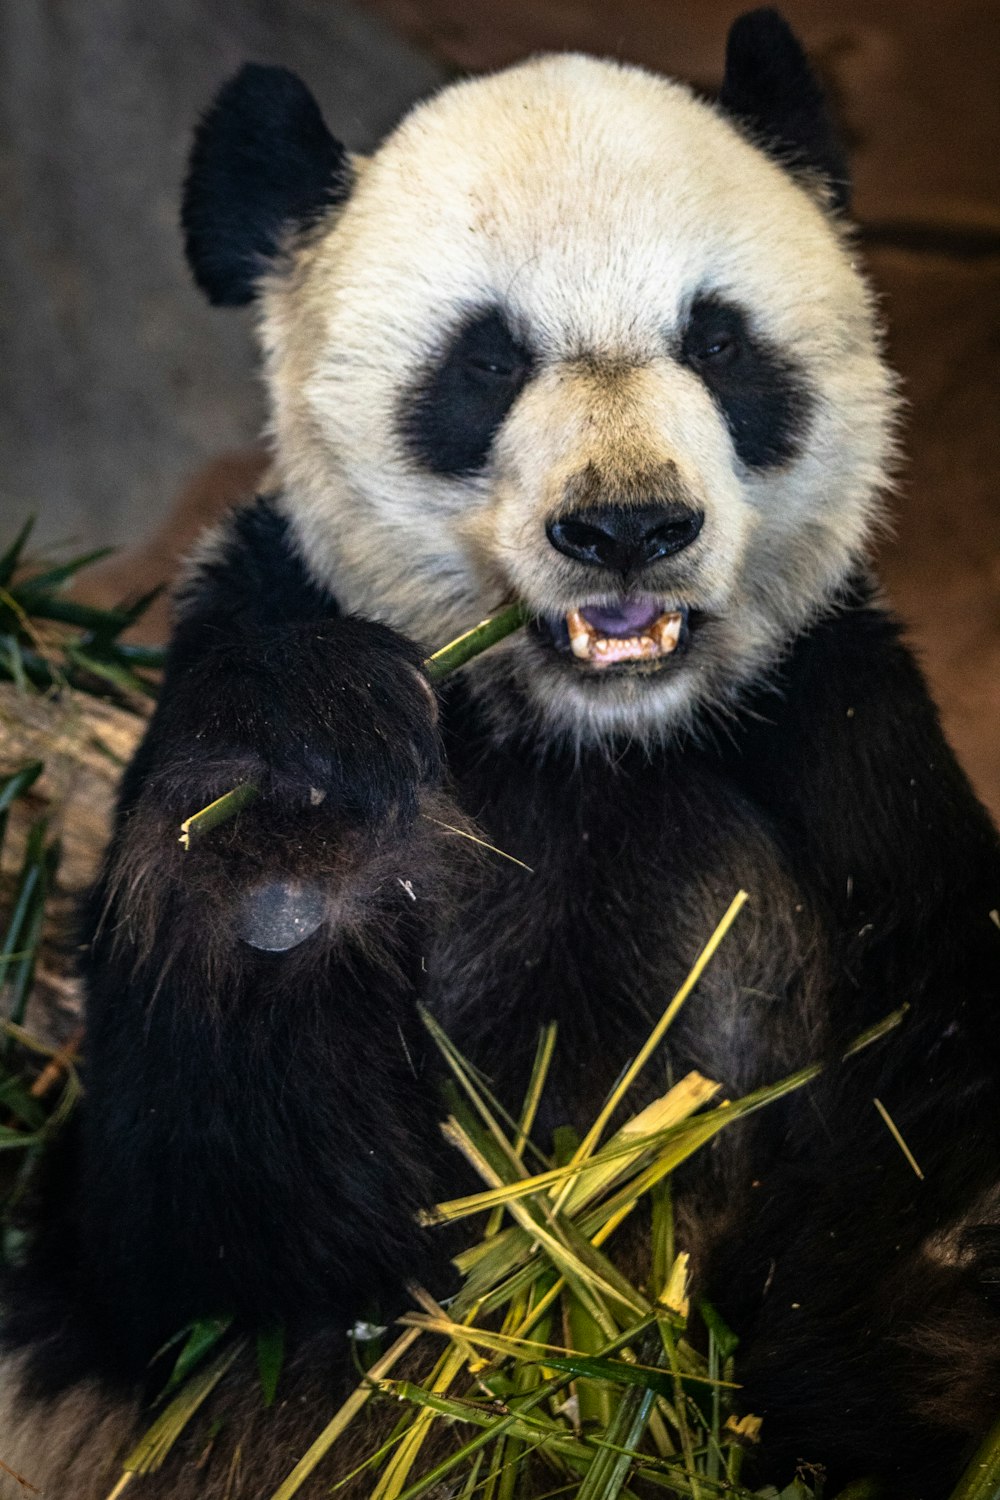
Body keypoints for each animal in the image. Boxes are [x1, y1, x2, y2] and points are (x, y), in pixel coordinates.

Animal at [1, 11, 1000, 1500]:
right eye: (484, 362)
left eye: (719, 342)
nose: (628, 527)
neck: (591, 742)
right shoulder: (247, 625)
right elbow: (204, 1249)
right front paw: (304, 827)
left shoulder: (853, 754)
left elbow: (939, 1137)